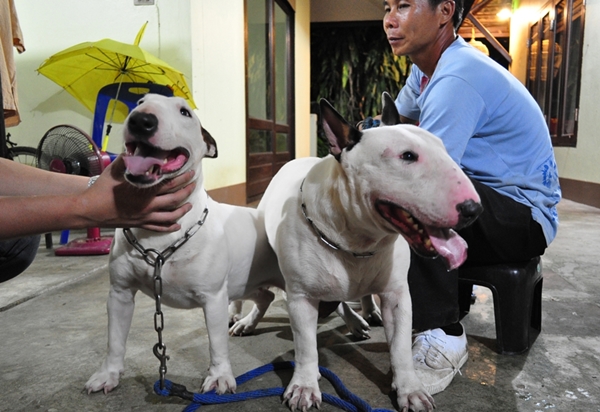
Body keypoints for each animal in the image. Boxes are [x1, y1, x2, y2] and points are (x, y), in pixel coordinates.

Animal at [84, 95, 286, 394]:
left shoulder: (213, 297)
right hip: (244, 281)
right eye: (140, 101)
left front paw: (220, 377)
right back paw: (246, 324)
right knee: (265, 296)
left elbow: (216, 343)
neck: (159, 236)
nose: (141, 120)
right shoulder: (120, 293)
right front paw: (107, 374)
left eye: (184, 112)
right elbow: (115, 339)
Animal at [258, 93, 482, 412]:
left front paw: (410, 389)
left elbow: (400, 348)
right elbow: (305, 347)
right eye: (407, 156)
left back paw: (364, 314)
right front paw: (304, 385)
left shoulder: (397, 295)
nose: (474, 210)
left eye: (444, 149)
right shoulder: (301, 297)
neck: (358, 241)